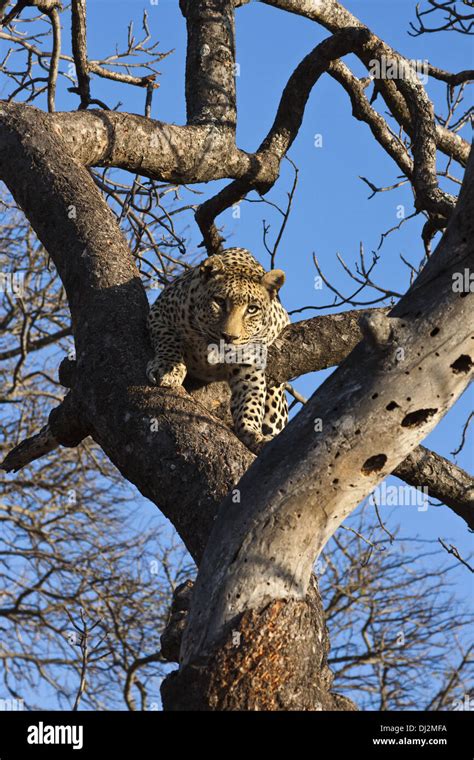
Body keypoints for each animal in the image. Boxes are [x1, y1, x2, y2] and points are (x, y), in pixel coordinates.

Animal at [147, 248, 288, 452]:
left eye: (252, 309)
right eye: (220, 301)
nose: (229, 337)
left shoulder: (249, 363)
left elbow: (252, 399)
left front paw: (253, 433)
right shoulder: (160, 313)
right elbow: (169, 339)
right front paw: (168, 368)